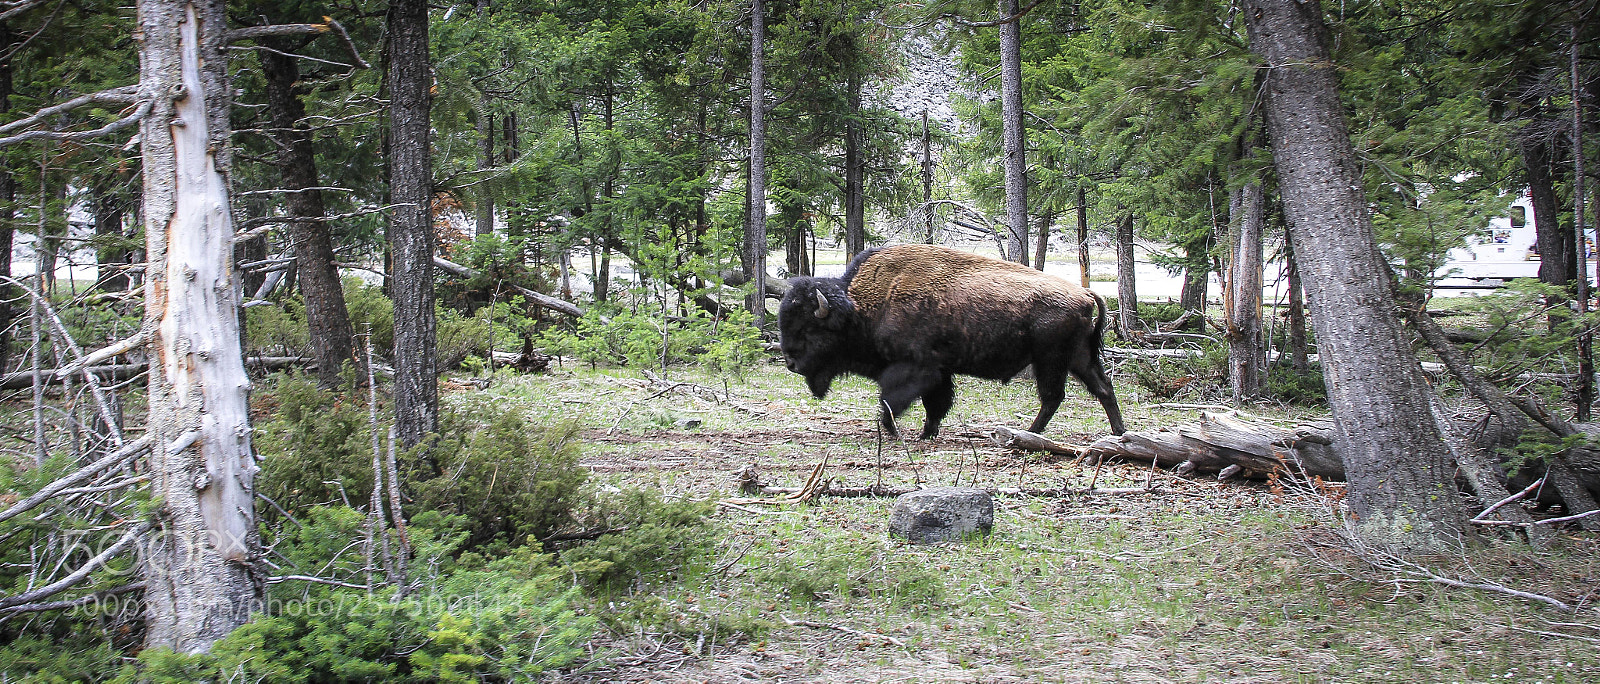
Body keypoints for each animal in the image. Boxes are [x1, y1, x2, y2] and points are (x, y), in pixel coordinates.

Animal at [778, 244, 1125, 439]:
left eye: (808, 330)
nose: (791, 363)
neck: (859, 306)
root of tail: (1085, 293)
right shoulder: (940, 371)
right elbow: (936, 404)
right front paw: (926, 434)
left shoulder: (915, 368)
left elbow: (891, 399)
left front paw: (892, 430)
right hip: (1079, 357)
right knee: (1102, 389)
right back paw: (1119, 432)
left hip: (1050, 360)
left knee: (1053, 396)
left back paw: (1029, 433)